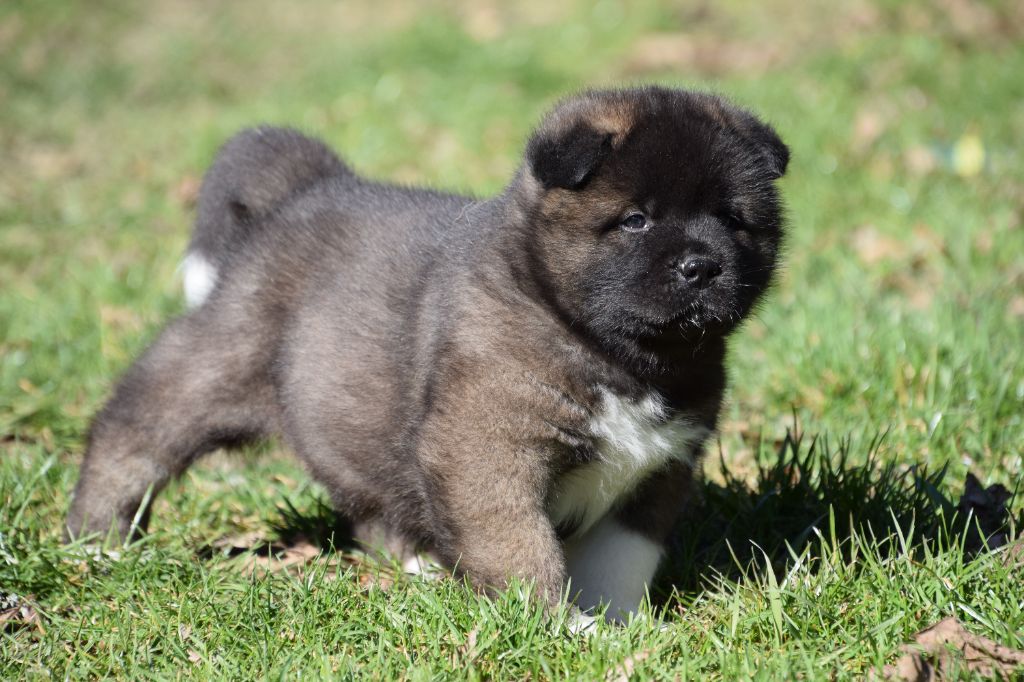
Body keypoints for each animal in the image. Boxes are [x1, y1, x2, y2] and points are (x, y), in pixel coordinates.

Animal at [67, 86, 788, 623]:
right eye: (636, 219)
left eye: (732, 218)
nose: (702, 266)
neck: (612, 350)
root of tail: (307, 191)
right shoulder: (487, 448)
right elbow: (520, 545)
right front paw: (558, 628)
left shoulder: (658, 468)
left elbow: (620, 560)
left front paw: (618, 629)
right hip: (220, 360)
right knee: (135, 427)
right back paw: (97, 544)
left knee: (370, 502)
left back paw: (418, 567)